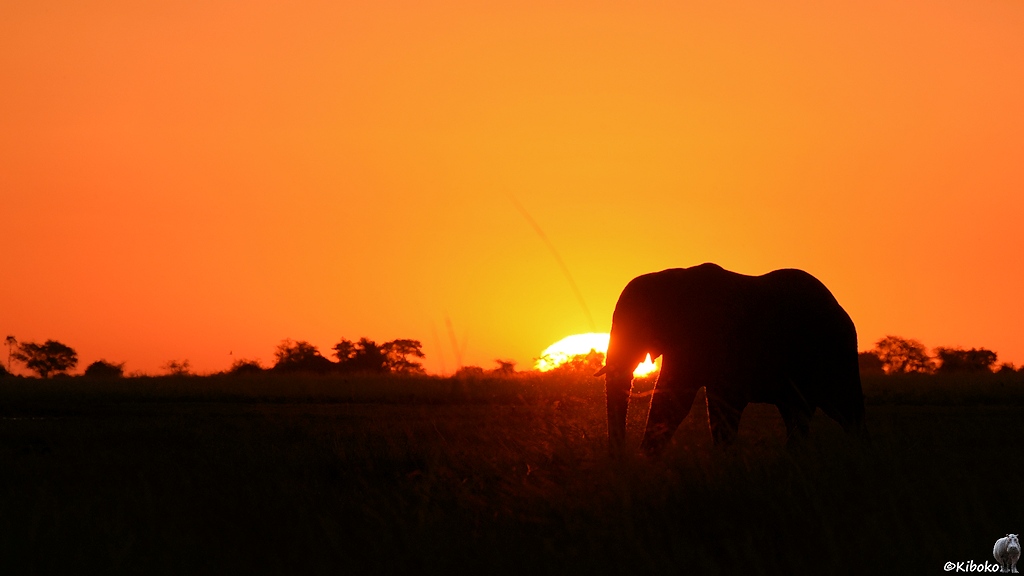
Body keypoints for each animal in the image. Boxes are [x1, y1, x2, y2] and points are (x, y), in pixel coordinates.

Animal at [595, 263, 866, 455]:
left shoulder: (712, 336)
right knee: (801, 412)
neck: (672, 278)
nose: (620, 459)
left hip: (835, 352)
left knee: (843, 407)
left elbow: (681, 400)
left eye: (638, 325)